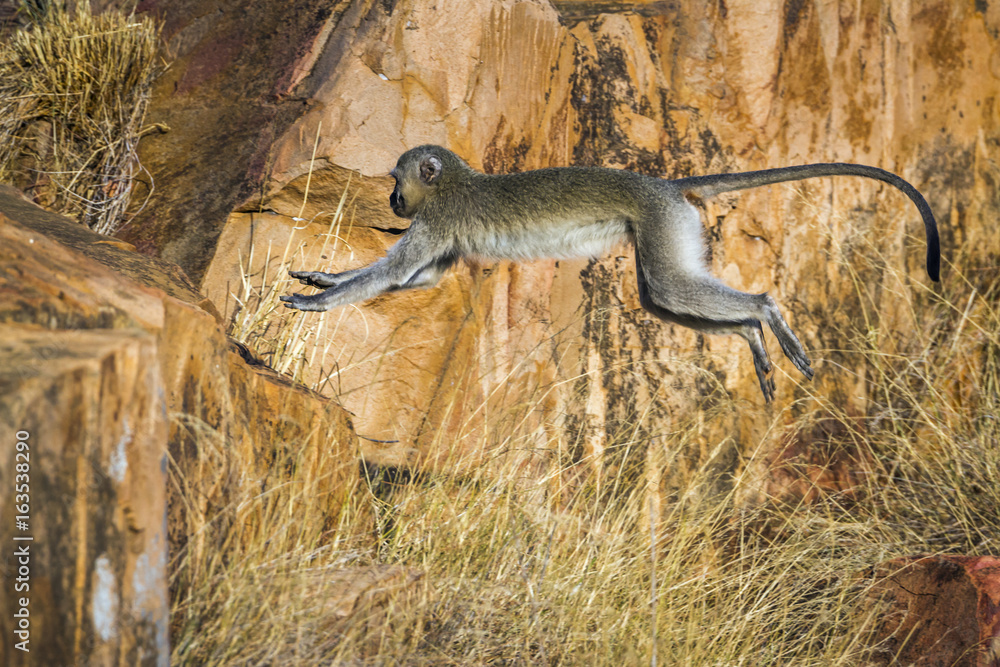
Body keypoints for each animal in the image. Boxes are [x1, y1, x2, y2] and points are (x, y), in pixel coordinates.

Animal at [281, 145, 940, 402]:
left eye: (399, 180)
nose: (393, 199)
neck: (457, 183)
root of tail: (664, 186)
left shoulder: (437, 220)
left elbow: (391, 274)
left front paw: (318, 301)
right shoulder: (442, 236)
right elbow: (415, 280)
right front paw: (322, 278)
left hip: (661, 222)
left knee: (682, 290)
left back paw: (764, 314)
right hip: (671, 228)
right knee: (663, 298)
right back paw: (753, 339)